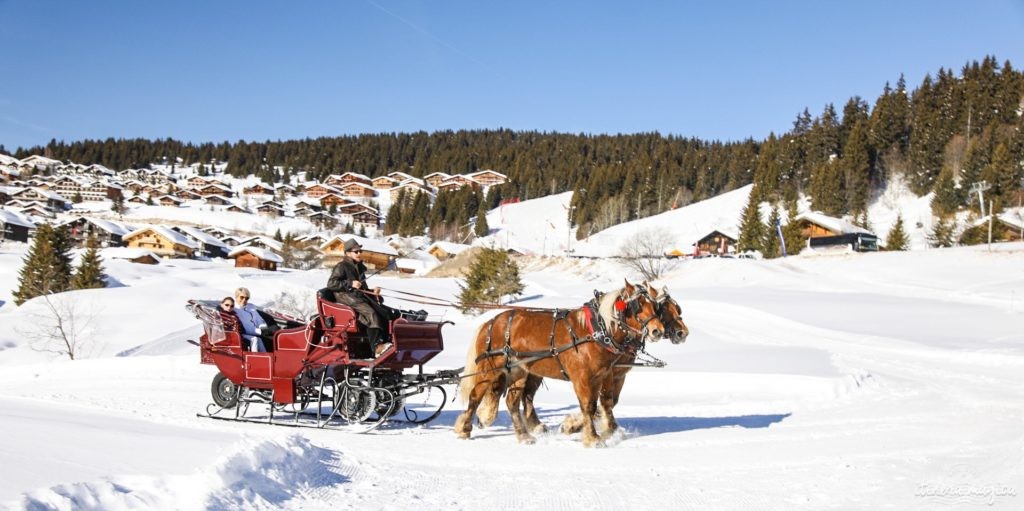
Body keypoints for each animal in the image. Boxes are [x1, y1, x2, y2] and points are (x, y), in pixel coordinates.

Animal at [454, 280, 663, 448]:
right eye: (637, 305)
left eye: (654, 305)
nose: (657, 331)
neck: (595, 332)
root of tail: (490, 322)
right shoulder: (583, 379)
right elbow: (589, 407)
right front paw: (593, 438)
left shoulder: (603, 376)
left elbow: (605, 404)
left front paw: (606, 430)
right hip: (489, 369)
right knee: (475, 396)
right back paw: (464, 429)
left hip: (518, 371)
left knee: (512, 402)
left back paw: (524, 436)